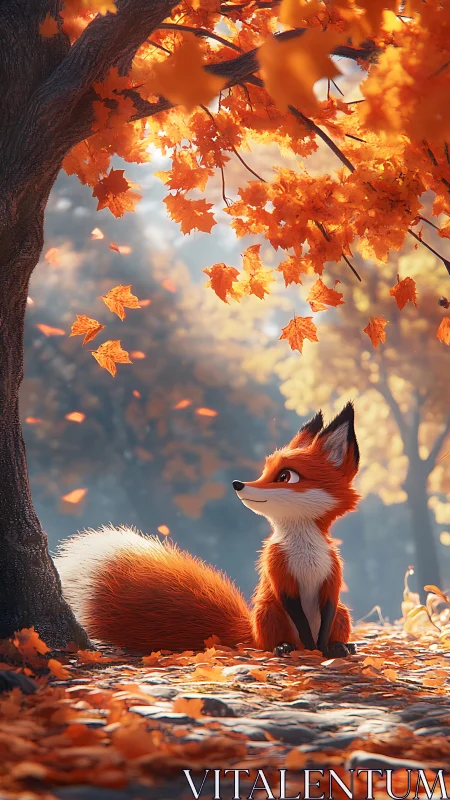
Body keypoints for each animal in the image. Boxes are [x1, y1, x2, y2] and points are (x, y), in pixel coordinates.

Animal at [55, 402, 360, 658]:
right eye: (264, 471)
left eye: (286, 476)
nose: (238, 484)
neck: (305, 550)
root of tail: (249, 630)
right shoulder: (279, 573)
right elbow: (299, 616)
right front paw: (312, 646)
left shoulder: (332, 575)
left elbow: (326, 611)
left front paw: (323, 646)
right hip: (268, 612)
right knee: (268, 644)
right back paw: (285, 647)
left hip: (343, 614)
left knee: (335, 623)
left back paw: (340, 645)